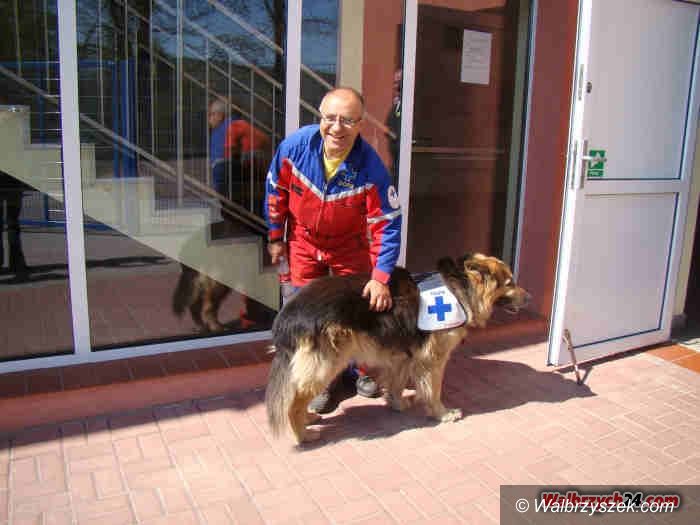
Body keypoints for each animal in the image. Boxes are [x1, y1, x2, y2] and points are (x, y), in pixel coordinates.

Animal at [265, 253, 530, 444]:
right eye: (510, 282)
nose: (529, 298)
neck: (460, 288)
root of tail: (287, 313)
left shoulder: (404, 357)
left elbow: (397, 384)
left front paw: (397, 404)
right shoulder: (432, 360)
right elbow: (433, 391)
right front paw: (442, 414)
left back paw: (307, 418)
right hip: (325, 366)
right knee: (292, 404)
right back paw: (303, 434)